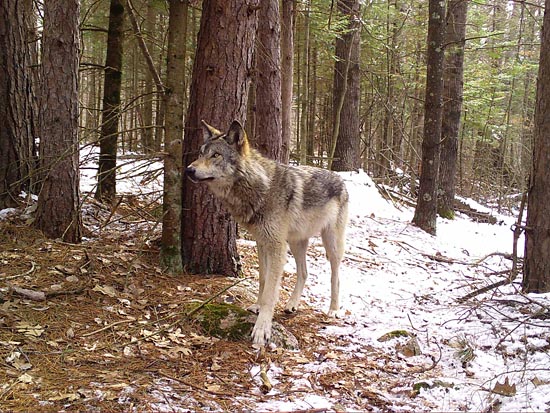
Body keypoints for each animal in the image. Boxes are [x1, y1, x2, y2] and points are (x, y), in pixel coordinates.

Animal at [187, 120, 350, 344]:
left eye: (216, 155)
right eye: (201, 153)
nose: (188, 170)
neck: (259, 187)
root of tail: (339, 177)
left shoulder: (275, 246)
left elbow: (271, 291)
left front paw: (262, 328)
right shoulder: (262, 242)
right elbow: (263, 280)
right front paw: (257, 305)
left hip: (331, 244)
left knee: (336, 275)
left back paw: (333, 309)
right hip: (295, 243)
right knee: (304, 272)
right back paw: (292, 304)